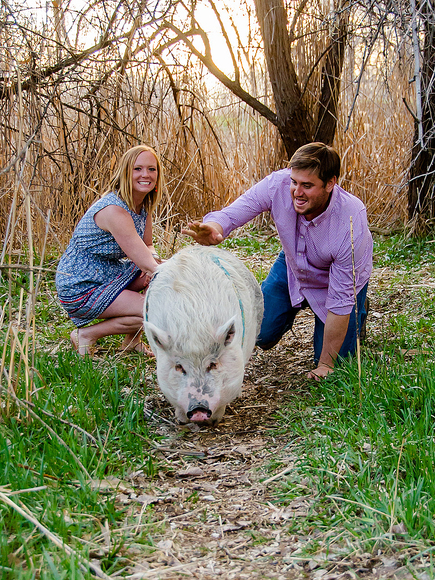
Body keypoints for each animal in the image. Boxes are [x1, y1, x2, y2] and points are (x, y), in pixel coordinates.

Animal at [145, 246, 264, 426]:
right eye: (179, 367)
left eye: (212, 365)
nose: (198, 410)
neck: (193, 327)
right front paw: (181, 420)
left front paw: (215, 421)